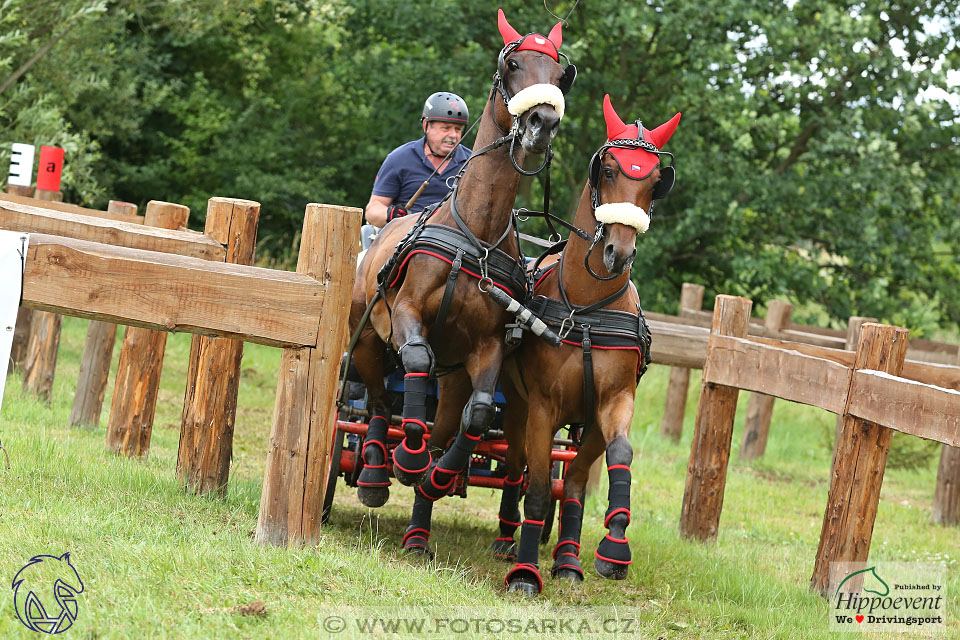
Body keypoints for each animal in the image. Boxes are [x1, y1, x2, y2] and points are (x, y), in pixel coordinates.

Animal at [348, 10, 572, 508]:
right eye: (512, 64)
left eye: (560, 73)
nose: (543, 122)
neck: (477, 236)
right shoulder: (407, 312)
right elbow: (415, 357)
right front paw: (406, 459)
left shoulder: (486, 347)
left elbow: (481, 411)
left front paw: (436, 471)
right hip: (368, 339)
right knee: (376, 402)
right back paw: (376, 467)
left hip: (452, 372)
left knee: (445, 414)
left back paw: (433, 464)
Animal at [496, 96, 684, 596]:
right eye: (609, 170)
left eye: (655, 181)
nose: (618, 253)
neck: (586, 309)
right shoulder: (543, 407)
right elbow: (539, 488)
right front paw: (525, 573)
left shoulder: (611, 404)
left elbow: (605, 465)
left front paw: (609, 547)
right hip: (517, 407)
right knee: (516, 466)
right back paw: (506, 538)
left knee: (570, 478)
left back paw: (565, 558)